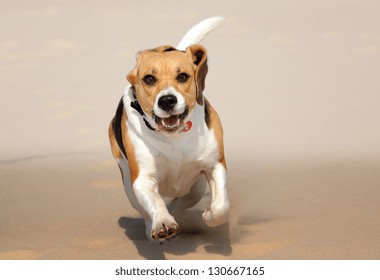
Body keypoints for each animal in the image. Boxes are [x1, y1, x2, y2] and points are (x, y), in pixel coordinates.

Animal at [108, 17, 230, 241]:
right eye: (149, 79)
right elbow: (155, 202)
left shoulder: (215, 165)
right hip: (128, 183)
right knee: (146, 208)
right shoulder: (143, 179)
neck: (174, 136)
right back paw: (152, 228)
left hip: (195, 187)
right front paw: (163, 223)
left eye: (183, 76)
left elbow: (220, 206)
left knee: (183, 201)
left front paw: (209, 216)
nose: (166, 101)